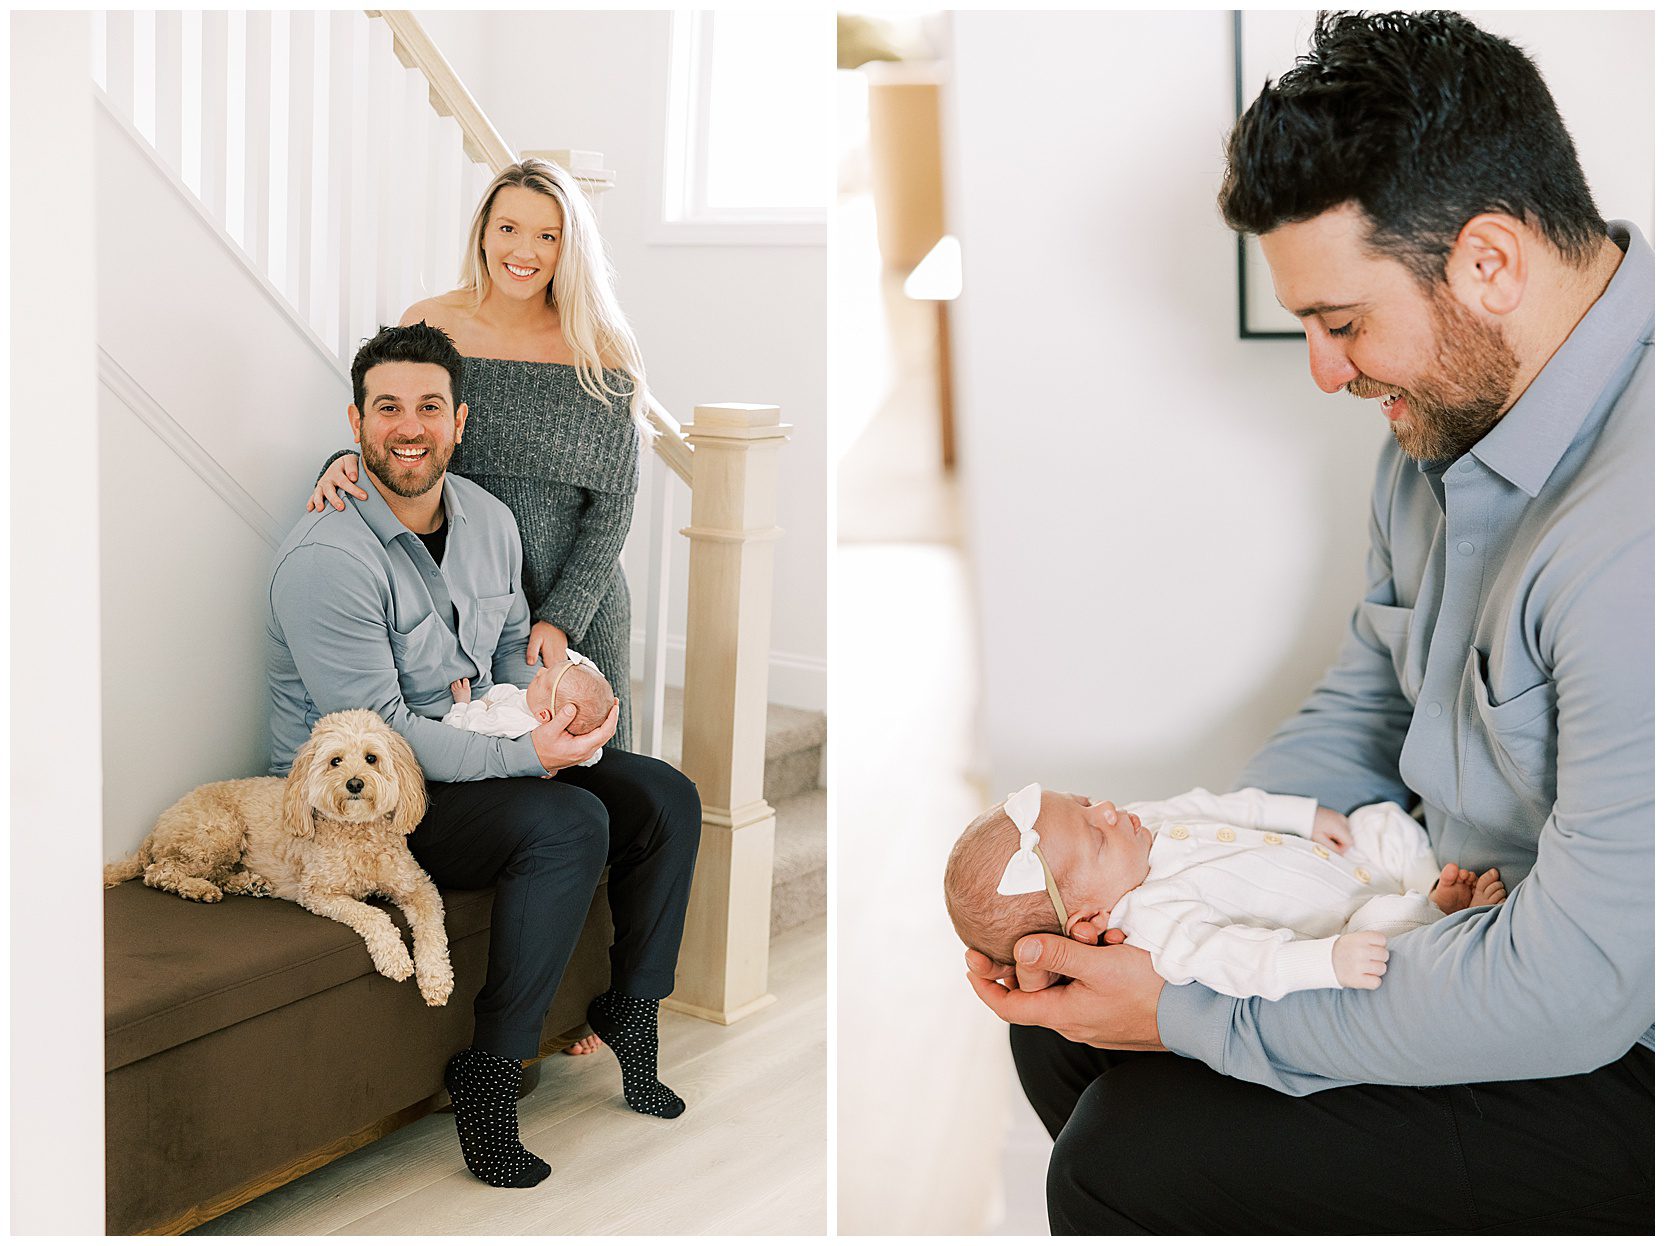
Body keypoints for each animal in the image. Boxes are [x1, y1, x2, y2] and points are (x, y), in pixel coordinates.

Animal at [105, 706, 456, 1006]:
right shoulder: (319, 892)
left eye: (372, 758)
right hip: (217, 831)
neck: (357, 833)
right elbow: (373, 915)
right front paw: (394, 959)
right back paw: (200, 889)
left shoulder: (418, 886)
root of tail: (159, 823)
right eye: (336, 761)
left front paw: (436, 978)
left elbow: (432, 929)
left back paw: (247, 883)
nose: (355, 783)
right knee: (160, 872)